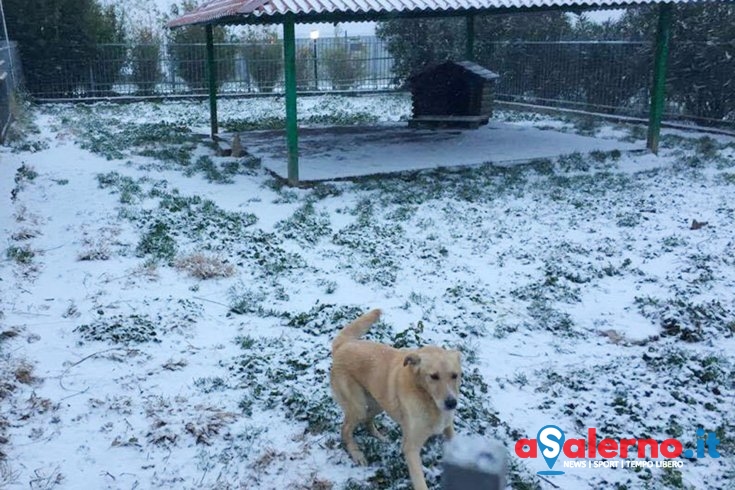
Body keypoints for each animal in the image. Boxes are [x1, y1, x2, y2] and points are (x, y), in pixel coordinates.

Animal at [330, 310, 462, 490]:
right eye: (433, 376)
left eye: (455, 375)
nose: (451, 403)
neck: (427, 398)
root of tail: (344, 344)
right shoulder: (411, 448)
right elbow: (420, 483)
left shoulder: (448, 429)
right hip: (358, 407)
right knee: (345, 430)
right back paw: (357, 454)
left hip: (378, 402)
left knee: (367, 420)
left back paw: (379, 436)